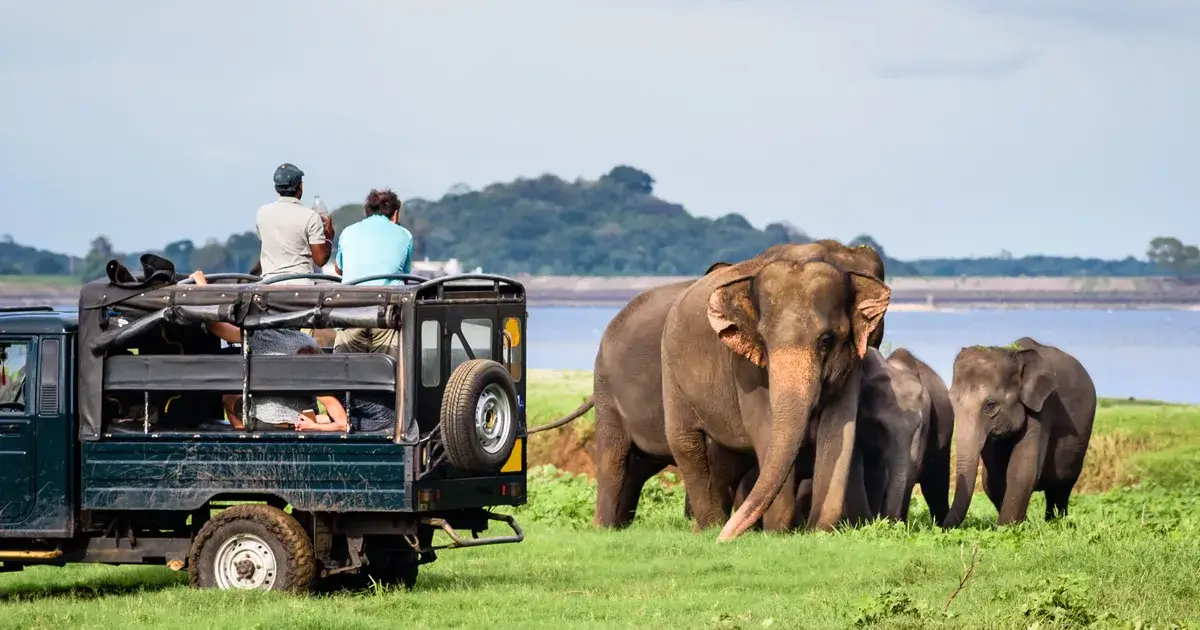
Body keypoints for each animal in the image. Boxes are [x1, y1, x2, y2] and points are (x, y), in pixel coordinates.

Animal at [667, 242, 892, 540]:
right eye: (762, 340)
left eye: (826, 340)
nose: (724, 540)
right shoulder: (745, 368)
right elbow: (764, 425)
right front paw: (777, 533)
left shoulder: (853, 361)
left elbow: (840, 428)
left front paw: (818, 531)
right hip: (670, 372)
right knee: (685, 442)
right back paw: (709, 528)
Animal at [940, 333, 1099, 525]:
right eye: (951, 401)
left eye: (990, 405)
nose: (941, 527)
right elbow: (992, 479)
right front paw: (1020, 524)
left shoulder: (1043, 406)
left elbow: (1022, 470)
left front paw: (1006, 528)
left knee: (1061, 486)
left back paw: (1054, 522)